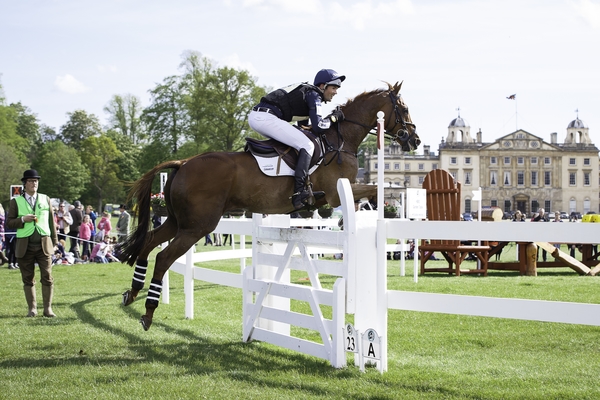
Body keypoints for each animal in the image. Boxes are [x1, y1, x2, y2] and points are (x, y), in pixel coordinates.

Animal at [117, 79, 418, 330]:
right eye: (403, 108)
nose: (414, 140)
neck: (339, 141)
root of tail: (183, 163)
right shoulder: (335, 193)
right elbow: (375, 190)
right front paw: (379, 208)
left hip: (178, 220)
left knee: (149, 241)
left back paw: (132, 293)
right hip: (198, 226)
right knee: (163, 257)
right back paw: (148, 311)